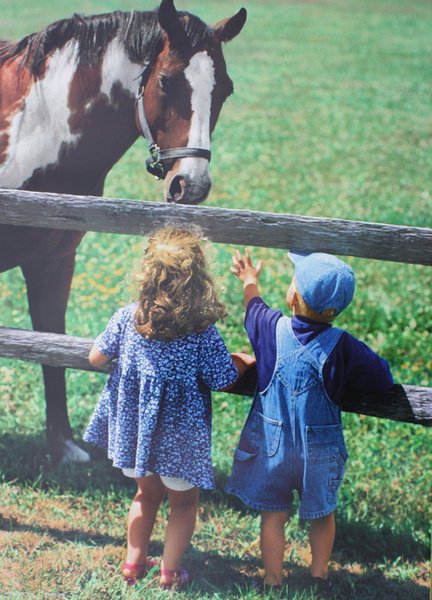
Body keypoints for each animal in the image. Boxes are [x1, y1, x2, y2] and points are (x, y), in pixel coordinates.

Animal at [0, 0, 246, 464]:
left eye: (224, 89)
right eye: (166, 81)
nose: (191, 184)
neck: (28, 129)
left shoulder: (54, 261)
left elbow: (50, 343)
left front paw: (63, 446)